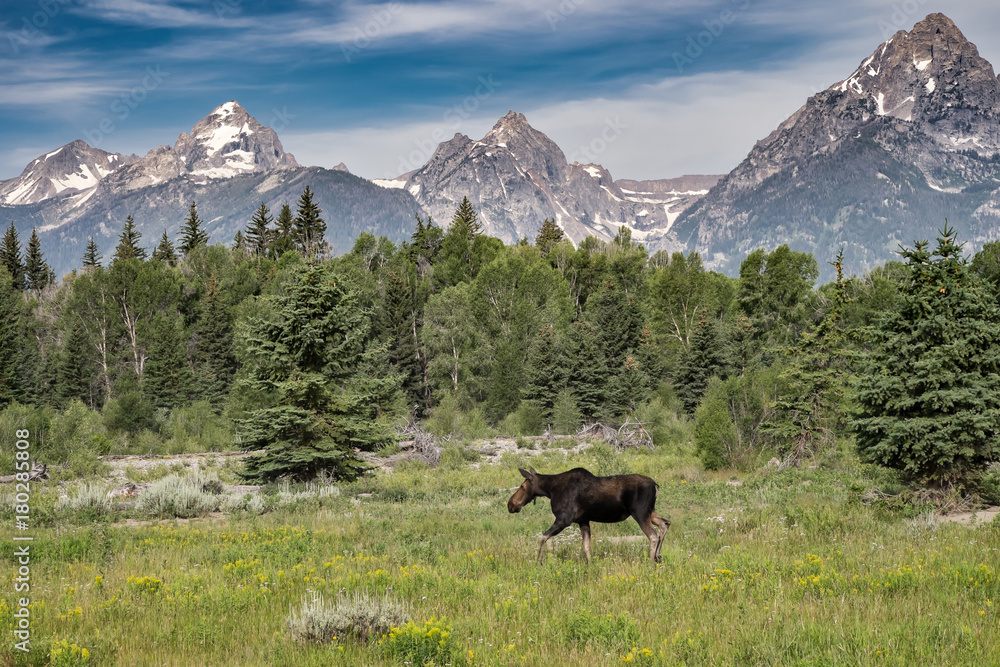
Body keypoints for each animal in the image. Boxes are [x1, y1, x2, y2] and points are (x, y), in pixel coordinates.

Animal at [512, 468, 668, 568]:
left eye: (522, 486)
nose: (511, 504)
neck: (550, 490)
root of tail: (656, 485)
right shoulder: (583, 520)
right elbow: (586, 546)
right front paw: (590, 565)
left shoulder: (564, 519)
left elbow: (543, 537)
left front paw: (539, 562)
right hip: (650, 512)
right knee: (665, 523)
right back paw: (658, 557)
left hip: (640, 513)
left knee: (653, 535)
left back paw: (651, 562)